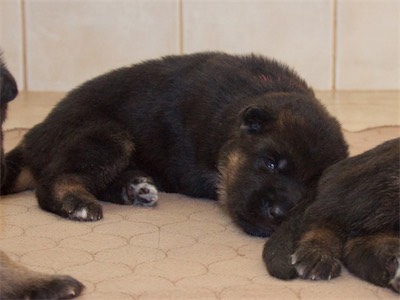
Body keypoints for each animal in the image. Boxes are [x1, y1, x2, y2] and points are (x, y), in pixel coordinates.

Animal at [1, 52, 348, 238]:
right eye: (270, 163)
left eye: (312, 186)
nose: (278, 214)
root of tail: (33, 137)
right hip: (106, 135)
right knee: (54, 180)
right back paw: (77, 203)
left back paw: (134, 189)